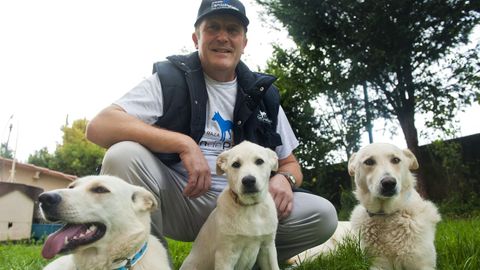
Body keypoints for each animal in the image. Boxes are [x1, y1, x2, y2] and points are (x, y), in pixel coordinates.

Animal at [181, 141, 282, 270]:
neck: (250, 207)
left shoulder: (268, 247)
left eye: (259, 161)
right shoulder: (225, 254)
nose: (248, 180)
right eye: (236, 164)